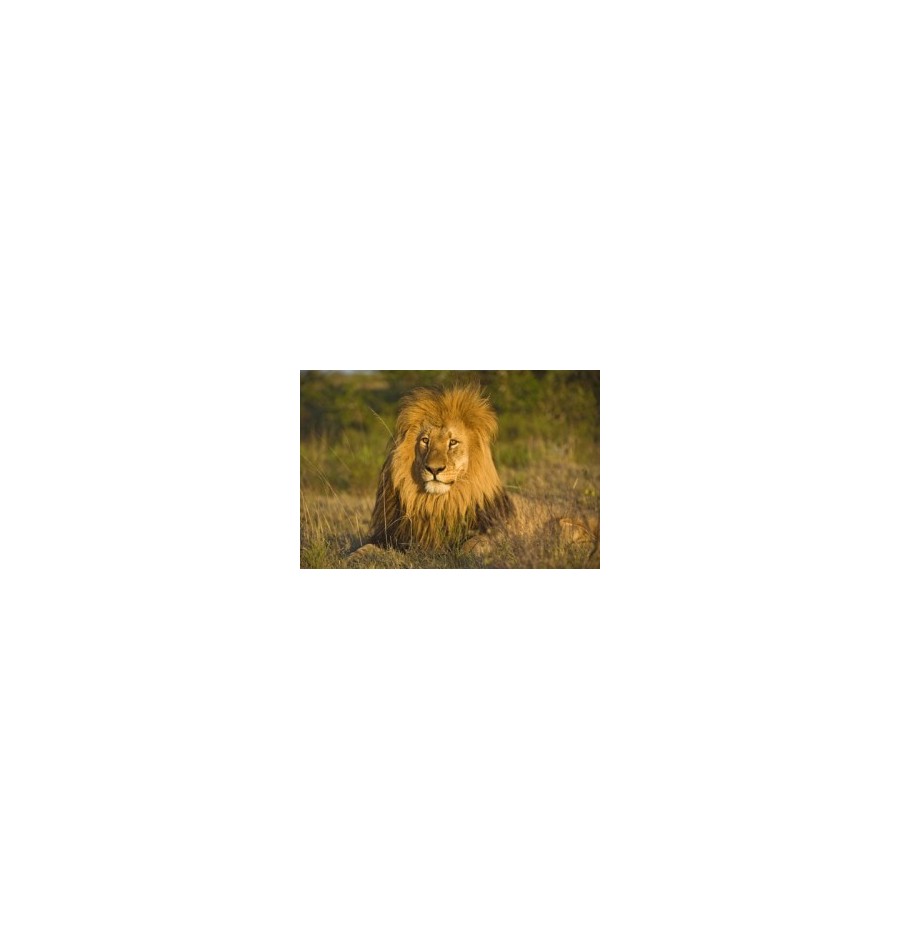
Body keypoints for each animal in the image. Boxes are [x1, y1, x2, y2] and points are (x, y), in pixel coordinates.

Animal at [350, 384, 599, 564]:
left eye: (452, 442)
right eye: (425, 441)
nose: (434, 469)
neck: (437, 503)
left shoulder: (495, 531)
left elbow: (471, 547)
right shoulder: (394, 536)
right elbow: (363, 548)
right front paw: (353, 558)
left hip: (561, 526)